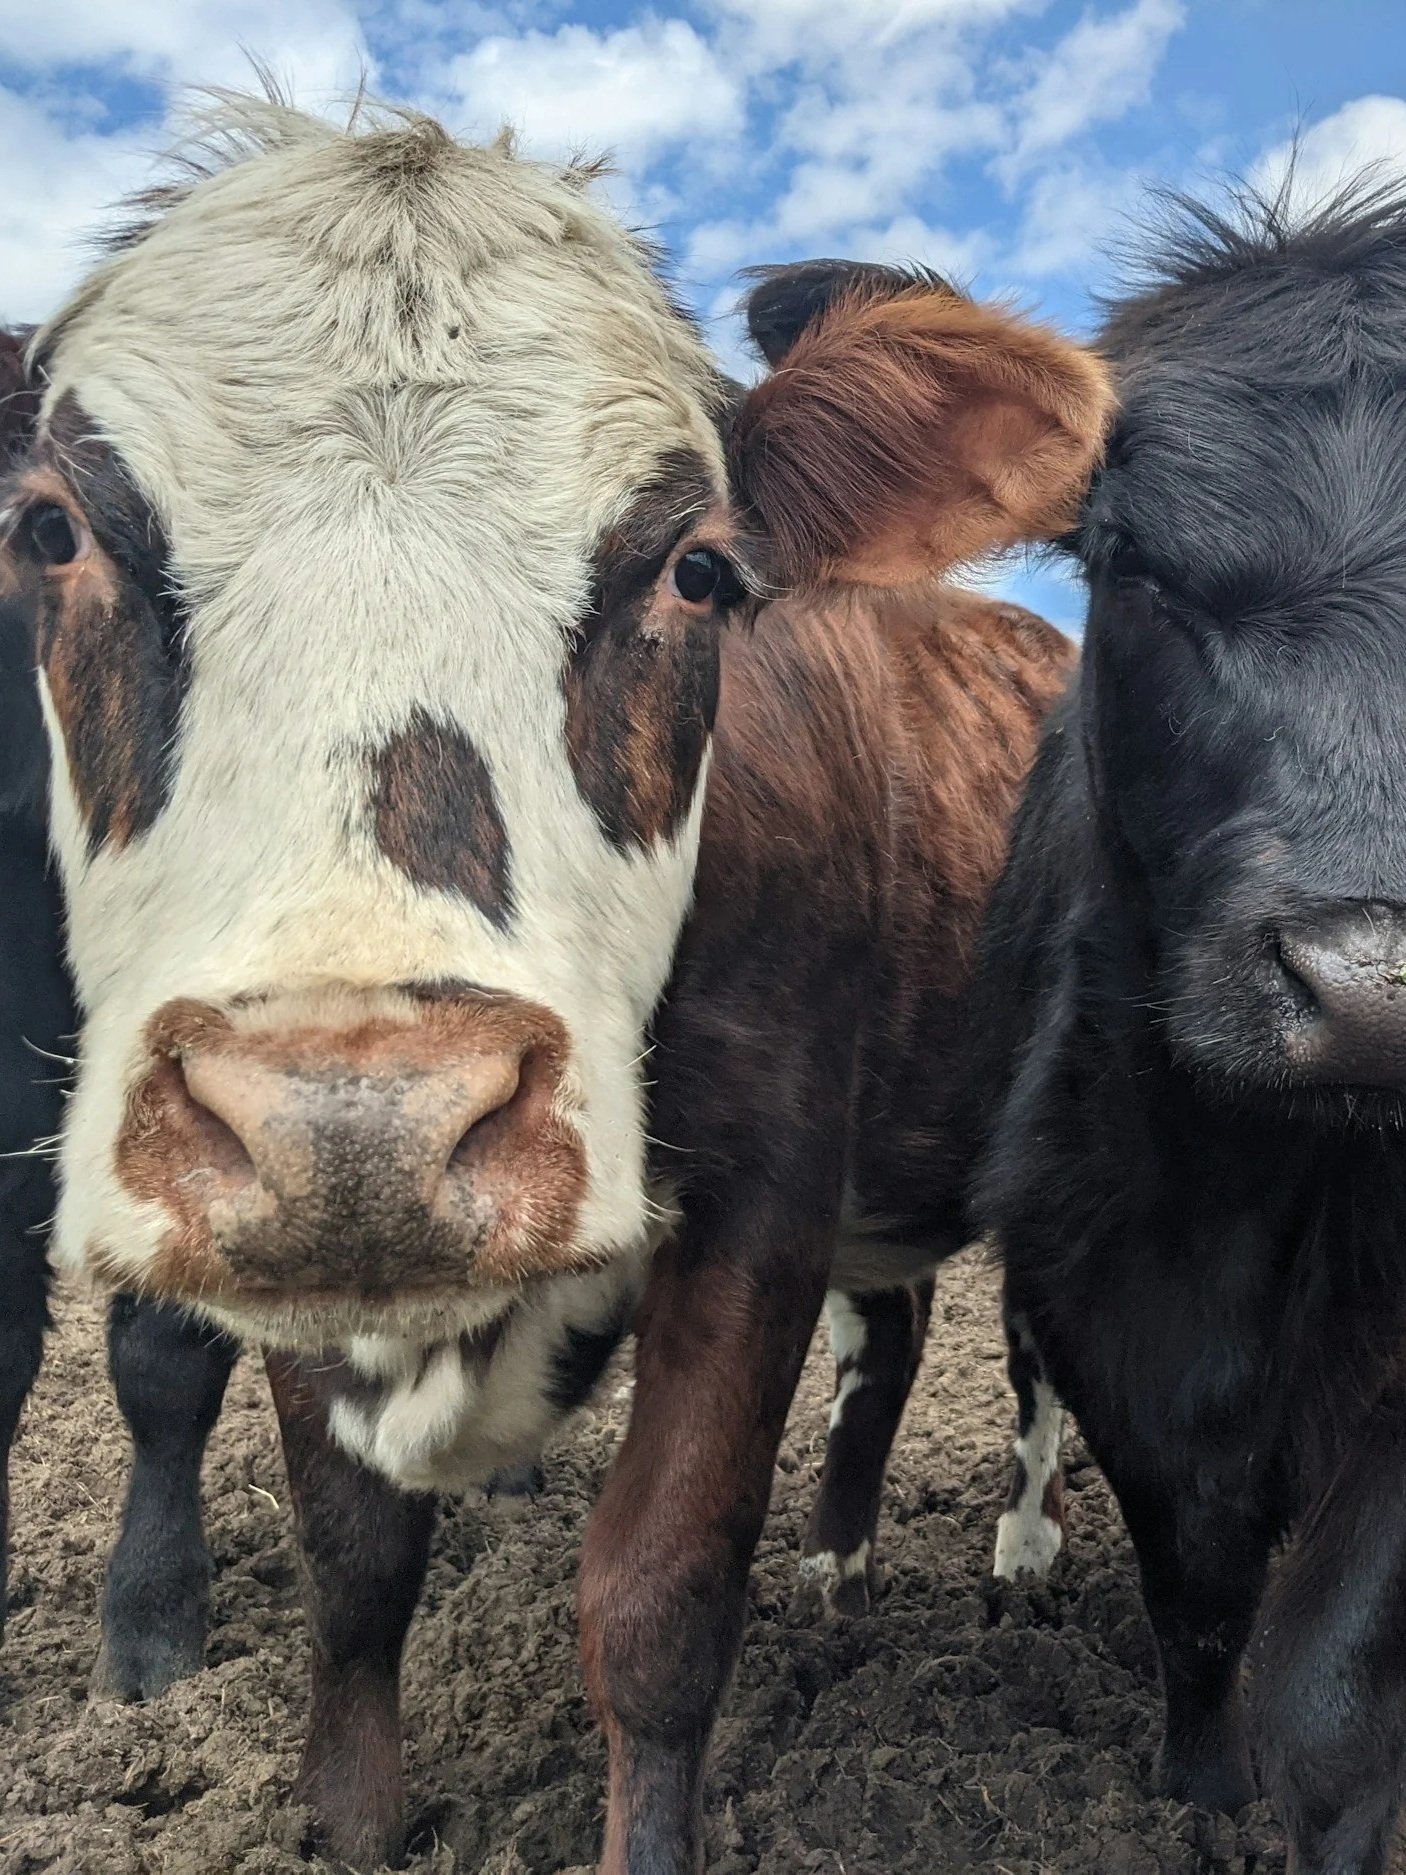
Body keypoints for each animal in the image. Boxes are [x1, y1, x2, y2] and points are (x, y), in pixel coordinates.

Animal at [1, 92, 1110, 1870]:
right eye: (52, 529)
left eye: (698, 570)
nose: (361, 1117)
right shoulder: (300, 1236)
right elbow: (355, 1554)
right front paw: (355, 1820)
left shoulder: (761, 1192)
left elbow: (659, 1597)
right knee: (897, 1324)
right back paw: (843, 1563)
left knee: (1026, 1343)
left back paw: (1017, 1546)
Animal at [967, 178, 1406, 1875]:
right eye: (1121, 556)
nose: (1369, 981)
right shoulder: (1092, 1279)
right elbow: (1195, 1585)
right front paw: (1197, 1780)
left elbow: (1326, 1683)